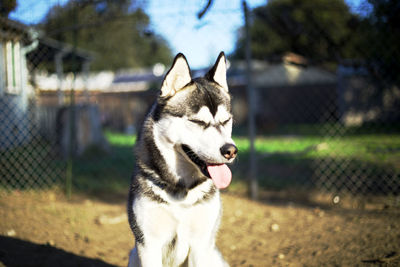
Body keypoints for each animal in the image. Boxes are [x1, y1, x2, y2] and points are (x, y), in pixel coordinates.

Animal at [126, 52, 236, 267]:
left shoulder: (200, 245)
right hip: (134, 255)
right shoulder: (148, 245)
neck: (182, 190)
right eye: (198, 122)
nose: (231, 150)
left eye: (226, 120)